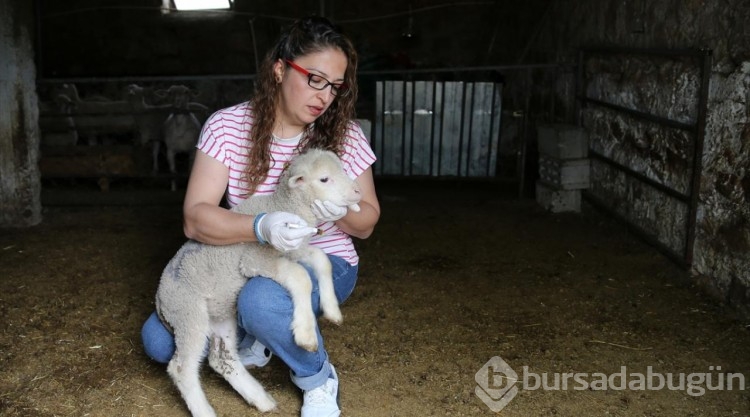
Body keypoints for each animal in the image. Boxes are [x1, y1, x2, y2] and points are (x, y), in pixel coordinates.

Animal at [154, 148, 362, 414]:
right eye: (325, 179)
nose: (358, 192)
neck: (283, 205)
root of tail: (160, 296)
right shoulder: (257, 259)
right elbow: (301, 276)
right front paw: (305, 334)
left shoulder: (294, 247)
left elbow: (322, 260)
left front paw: (332, 309)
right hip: (188, 315)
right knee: (181, 368)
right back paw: (204, 411)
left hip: (220, 316)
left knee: (222, 359)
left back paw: (260, 399)